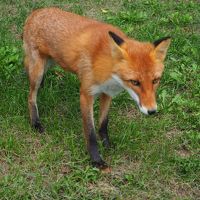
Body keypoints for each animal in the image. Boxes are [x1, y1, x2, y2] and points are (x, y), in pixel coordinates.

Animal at [23, 7, 170, 170]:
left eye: (155, 80)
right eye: (135, 82)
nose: (152, 111)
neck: (108, 69)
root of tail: (36, 11)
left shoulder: (107, 93)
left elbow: (103, 124)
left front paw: (107, 145)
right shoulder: (86, 95)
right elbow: (90, 133)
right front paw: (96, 160)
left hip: (50, 63)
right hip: (37, 71)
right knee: (31, 96)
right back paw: (35, 122)